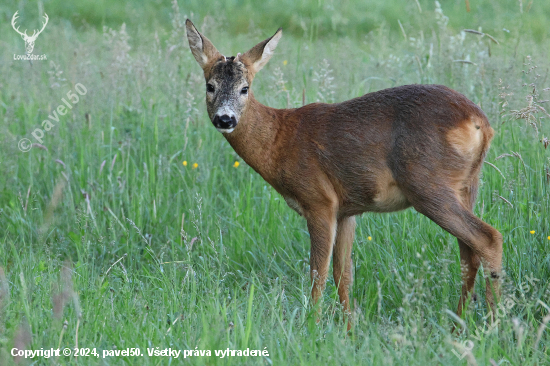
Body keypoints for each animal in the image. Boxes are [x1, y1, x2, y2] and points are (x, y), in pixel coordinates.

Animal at [187, 19, 504, 332]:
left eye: (245, 88)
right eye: (210, 86)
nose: (225, 119)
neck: (280, 140)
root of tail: (480, 123)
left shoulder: (319, 200)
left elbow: (319, 271)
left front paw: (312, 326)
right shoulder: (347, 210)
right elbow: (344, 272)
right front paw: (349, 329)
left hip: (428, 183)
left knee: (487, 238)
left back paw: (492, 323)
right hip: (466, 186)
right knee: (468, 252)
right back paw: (459, 324)